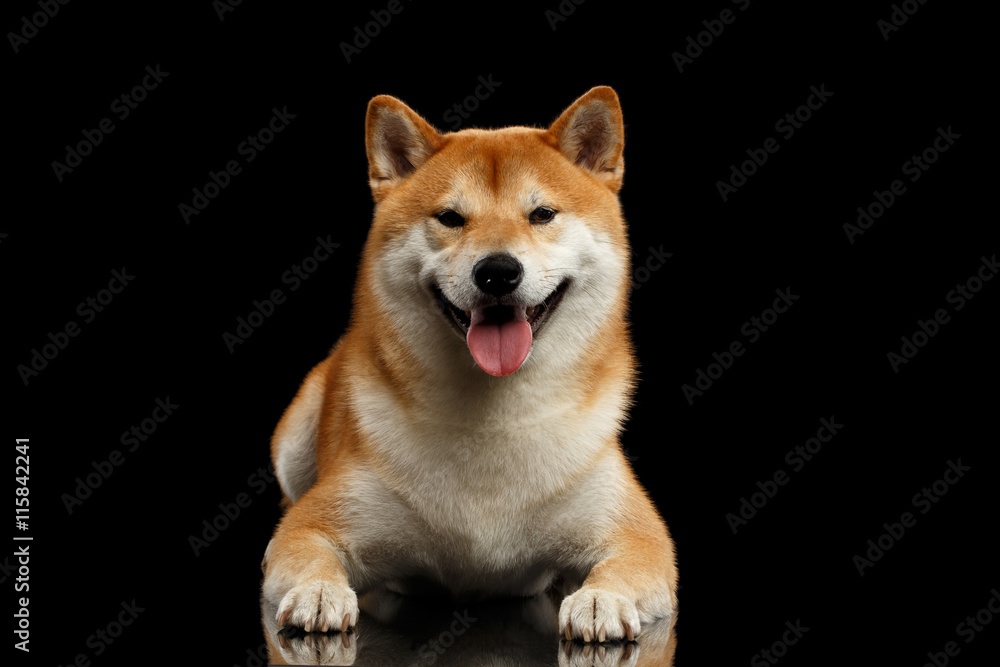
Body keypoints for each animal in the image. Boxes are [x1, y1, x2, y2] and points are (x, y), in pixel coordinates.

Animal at [260, 86, 680, 644]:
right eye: (450, 218)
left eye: (542, 214)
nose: (498, 271)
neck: (493, 417)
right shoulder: (321, 520)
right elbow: (305, 547)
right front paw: (318, 591)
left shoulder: (635, 531)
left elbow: (629, 561)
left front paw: (601, 599)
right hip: (295, 436)